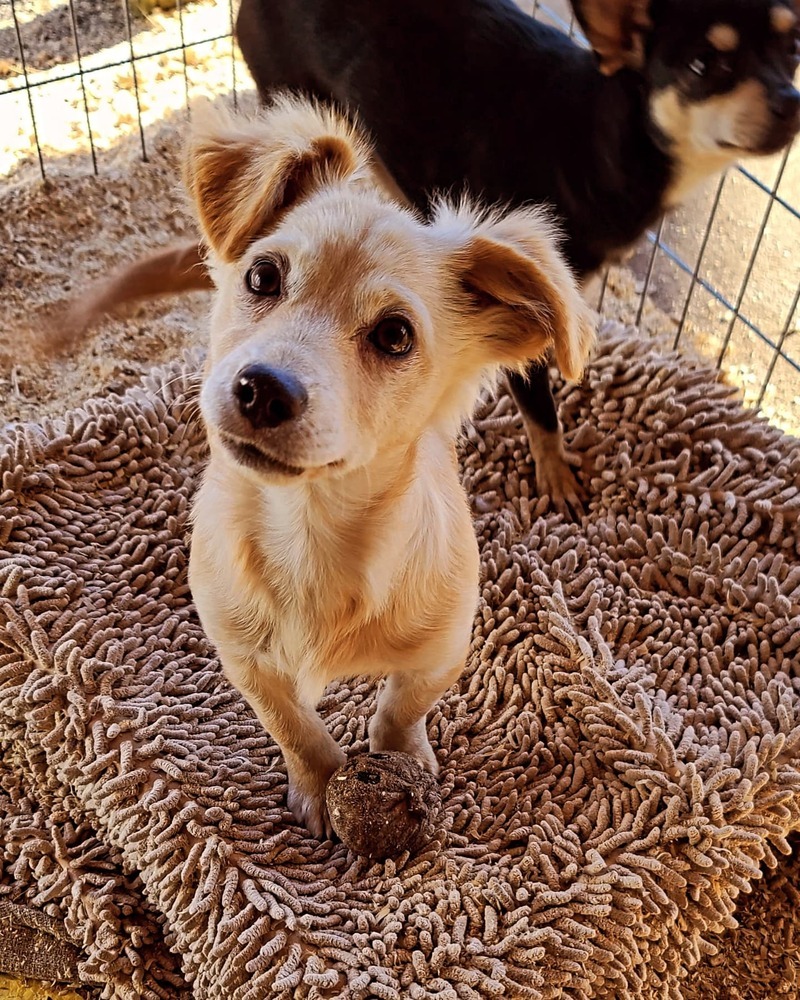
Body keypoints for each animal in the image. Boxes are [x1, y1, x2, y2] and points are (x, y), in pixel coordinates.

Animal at [45, 0, 800, 504]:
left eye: (792, 51)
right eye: (704, 65)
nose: (791, 101)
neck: (608, 133)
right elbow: (542, 409)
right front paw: (557, 476)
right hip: (295, 88)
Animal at [183, 97, 592, 840]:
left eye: (395, 336)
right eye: (263, 277)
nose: (262, 389)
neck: (311, 533)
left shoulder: (443, 647)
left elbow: (401, 708)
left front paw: (403, 764)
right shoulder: (242, 655)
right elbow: (293, 724)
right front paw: (318, 784)